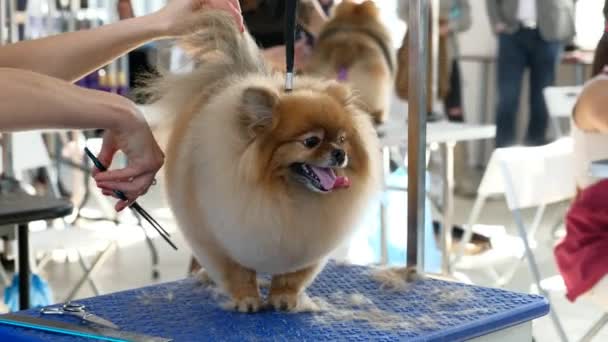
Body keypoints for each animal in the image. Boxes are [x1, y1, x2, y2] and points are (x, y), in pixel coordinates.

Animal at [147, 10, 378, 312]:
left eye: (341, 139)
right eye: (311, 141)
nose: (340, 154)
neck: (283, 196)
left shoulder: (306, 247)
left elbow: (291, 276)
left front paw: (284, 298)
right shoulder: (223, 240)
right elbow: (239, 273)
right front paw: (247, 300)